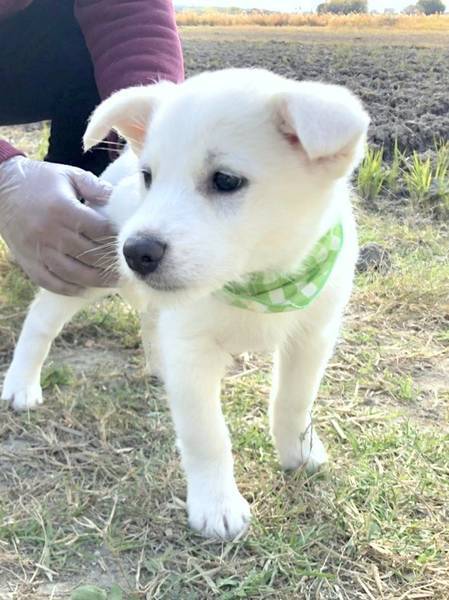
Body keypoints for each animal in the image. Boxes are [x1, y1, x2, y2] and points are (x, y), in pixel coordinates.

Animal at [1, 69, 369, 539]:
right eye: (149, 176)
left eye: (226, 180)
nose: (135, 252)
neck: (257, 283)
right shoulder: (194, 352)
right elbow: (206, 434)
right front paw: (217, 504)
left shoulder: (312, 336)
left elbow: (293, 401)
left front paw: (299, 454)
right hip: (84, 278)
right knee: (41, 322)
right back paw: (21, 383)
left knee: (151, 320)